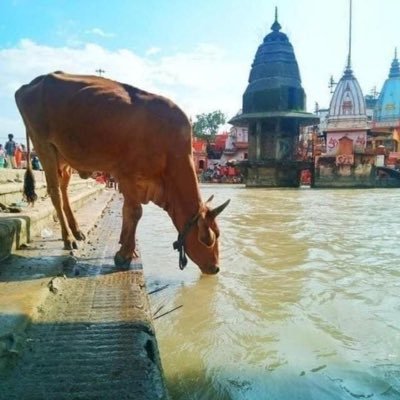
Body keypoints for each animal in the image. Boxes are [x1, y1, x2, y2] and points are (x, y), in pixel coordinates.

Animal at [15, 70, 230, 274]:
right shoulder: (127, 176)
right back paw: (68, 238)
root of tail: (32, 83)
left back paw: (76, 231)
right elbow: (134, 212)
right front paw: (124, 255)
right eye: (207, 239)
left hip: (64, 159)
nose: (216, 268)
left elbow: (127, 213)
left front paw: (127, 249)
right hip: (44, 147)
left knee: (64, 190)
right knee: (55, 193)